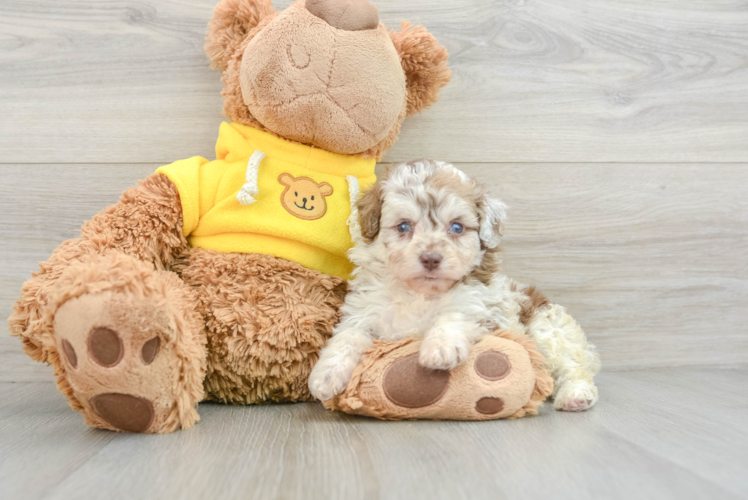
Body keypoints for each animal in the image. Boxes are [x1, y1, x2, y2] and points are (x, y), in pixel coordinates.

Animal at [306, 159, 600, 410]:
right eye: (403, 226)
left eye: (457, 228)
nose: (431, 258)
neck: (420, 293)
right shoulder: (365, 310)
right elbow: (348, 335)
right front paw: (324, 377)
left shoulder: (482, 307)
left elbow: (455, 315)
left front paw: (440, 349)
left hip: (549, 330)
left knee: (572, 366)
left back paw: (575, 395)